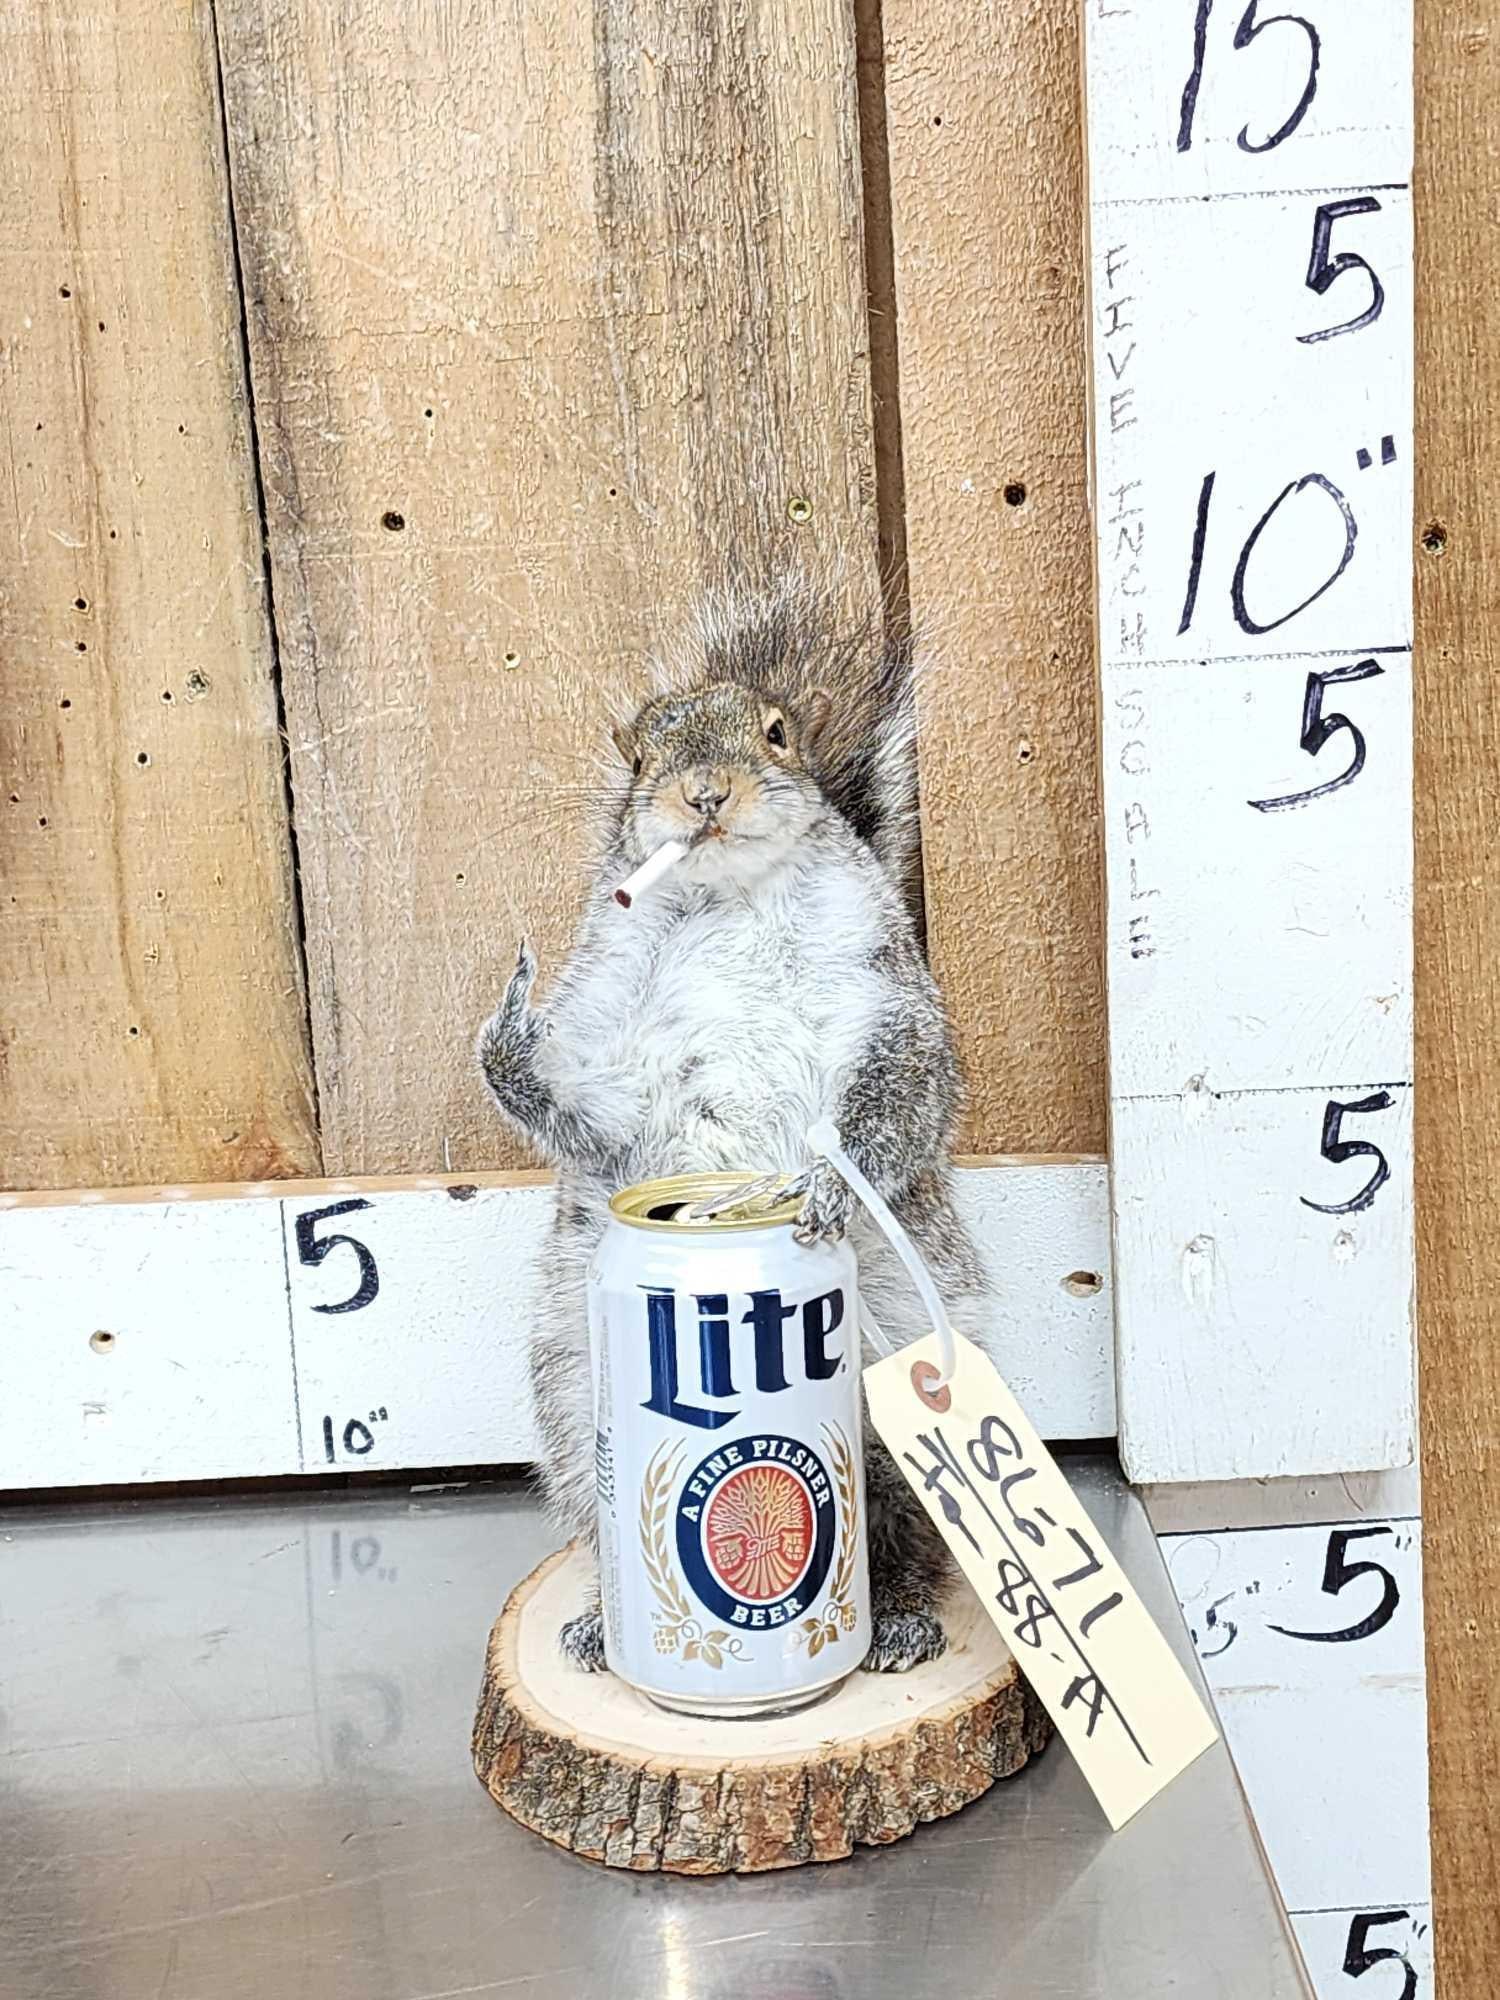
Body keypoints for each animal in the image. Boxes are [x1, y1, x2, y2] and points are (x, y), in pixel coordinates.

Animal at [476, 578, 992, 1674]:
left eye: (778, 732)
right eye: (637, 756)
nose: (704, 791)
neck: (726, 901)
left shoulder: (887, 993)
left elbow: (906, 1095)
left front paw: (831, 1188)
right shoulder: (611, 1044)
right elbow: (582, 1117)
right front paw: (511, 1026)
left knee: (902, 1531)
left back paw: (898, 1617)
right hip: (572, 1394)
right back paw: (601, 1623)